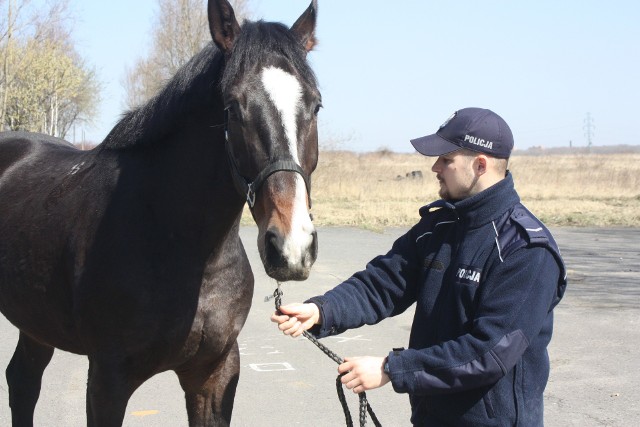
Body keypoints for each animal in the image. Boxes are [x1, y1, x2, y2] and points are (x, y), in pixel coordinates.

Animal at [0, 1, 320, 426]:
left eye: (316, 105)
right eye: (233, 108)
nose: (291, 247)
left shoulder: (214, 374)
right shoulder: (107, 380)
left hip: (36, 322)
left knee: (23, 380)